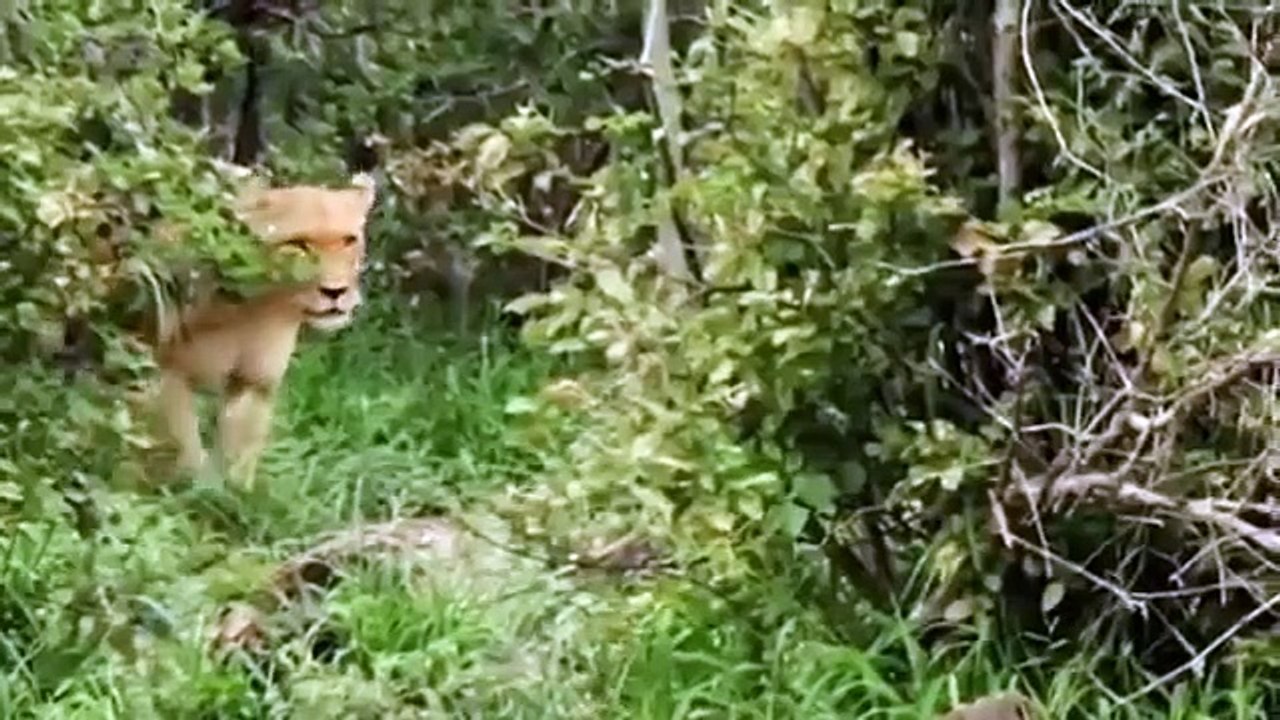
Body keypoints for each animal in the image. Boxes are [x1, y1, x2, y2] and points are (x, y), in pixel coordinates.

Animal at [150, 172, 377, 486]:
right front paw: (191, 486)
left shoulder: (256, 382)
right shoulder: (171, 369)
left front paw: (230, 493)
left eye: (348, 240)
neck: (257, 306)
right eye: (298, 244)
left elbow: (241, 449)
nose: (336, 292)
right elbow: (183, 440)